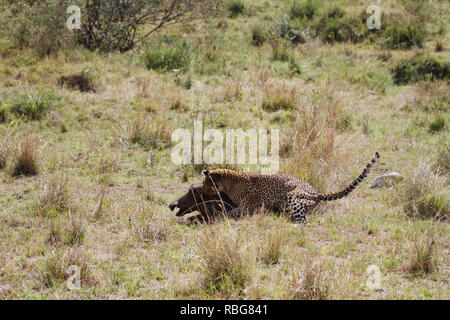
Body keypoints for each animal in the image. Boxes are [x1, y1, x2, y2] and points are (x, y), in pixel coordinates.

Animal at [202, 152, 378, 222]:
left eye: (206, 184)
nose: (204, 193)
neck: (230, 183)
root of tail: (316, 193)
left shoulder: (248, 207)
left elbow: (230, 212)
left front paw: (216, 217)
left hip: (293, 196)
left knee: (304, 220)